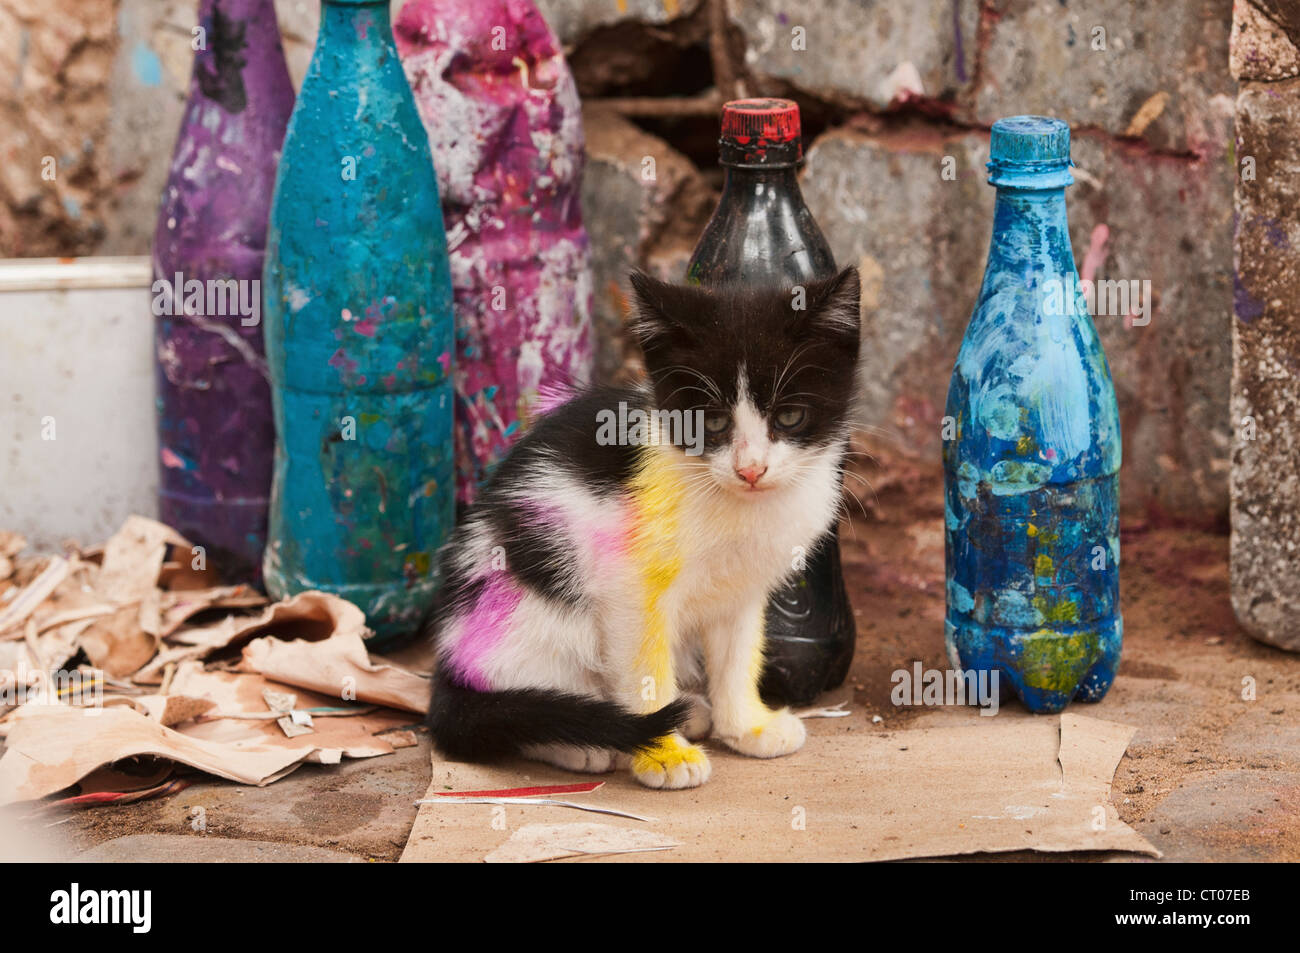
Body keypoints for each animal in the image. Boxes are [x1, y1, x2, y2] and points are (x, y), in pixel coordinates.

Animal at [426, 267, 863, 790]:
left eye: (790, 416)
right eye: (712, 422)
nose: (751, 470)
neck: (737, 503)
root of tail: (449, 665)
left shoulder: (743, 585)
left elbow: (737, 654)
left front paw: (746, 726)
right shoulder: (628, 584)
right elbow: (643, 668)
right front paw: (664, 754)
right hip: (528, 605)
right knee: (515, 707)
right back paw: (581, 742)